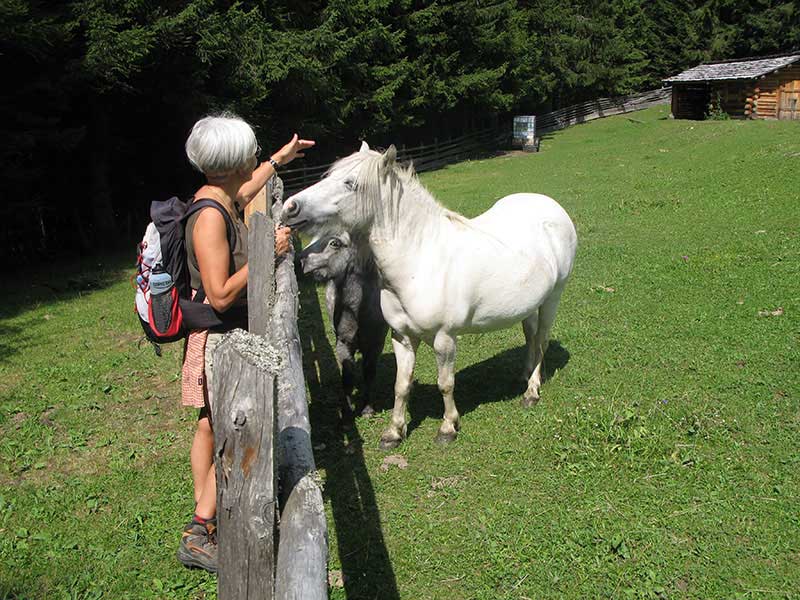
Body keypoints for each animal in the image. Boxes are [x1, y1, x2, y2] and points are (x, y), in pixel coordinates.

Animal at [282, 143, 576, 448]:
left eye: (350, 183)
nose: (290, 207)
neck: (420, 260)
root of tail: (553, 207)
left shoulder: (444, 339)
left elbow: (445, 384)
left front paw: (448, 428)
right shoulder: (402, 337)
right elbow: (401, 385)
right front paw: (394, 432)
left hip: (553, 298)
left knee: (541, 341)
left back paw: (531, 392)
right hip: (530, 304)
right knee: (531, 337)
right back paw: (525, 377)